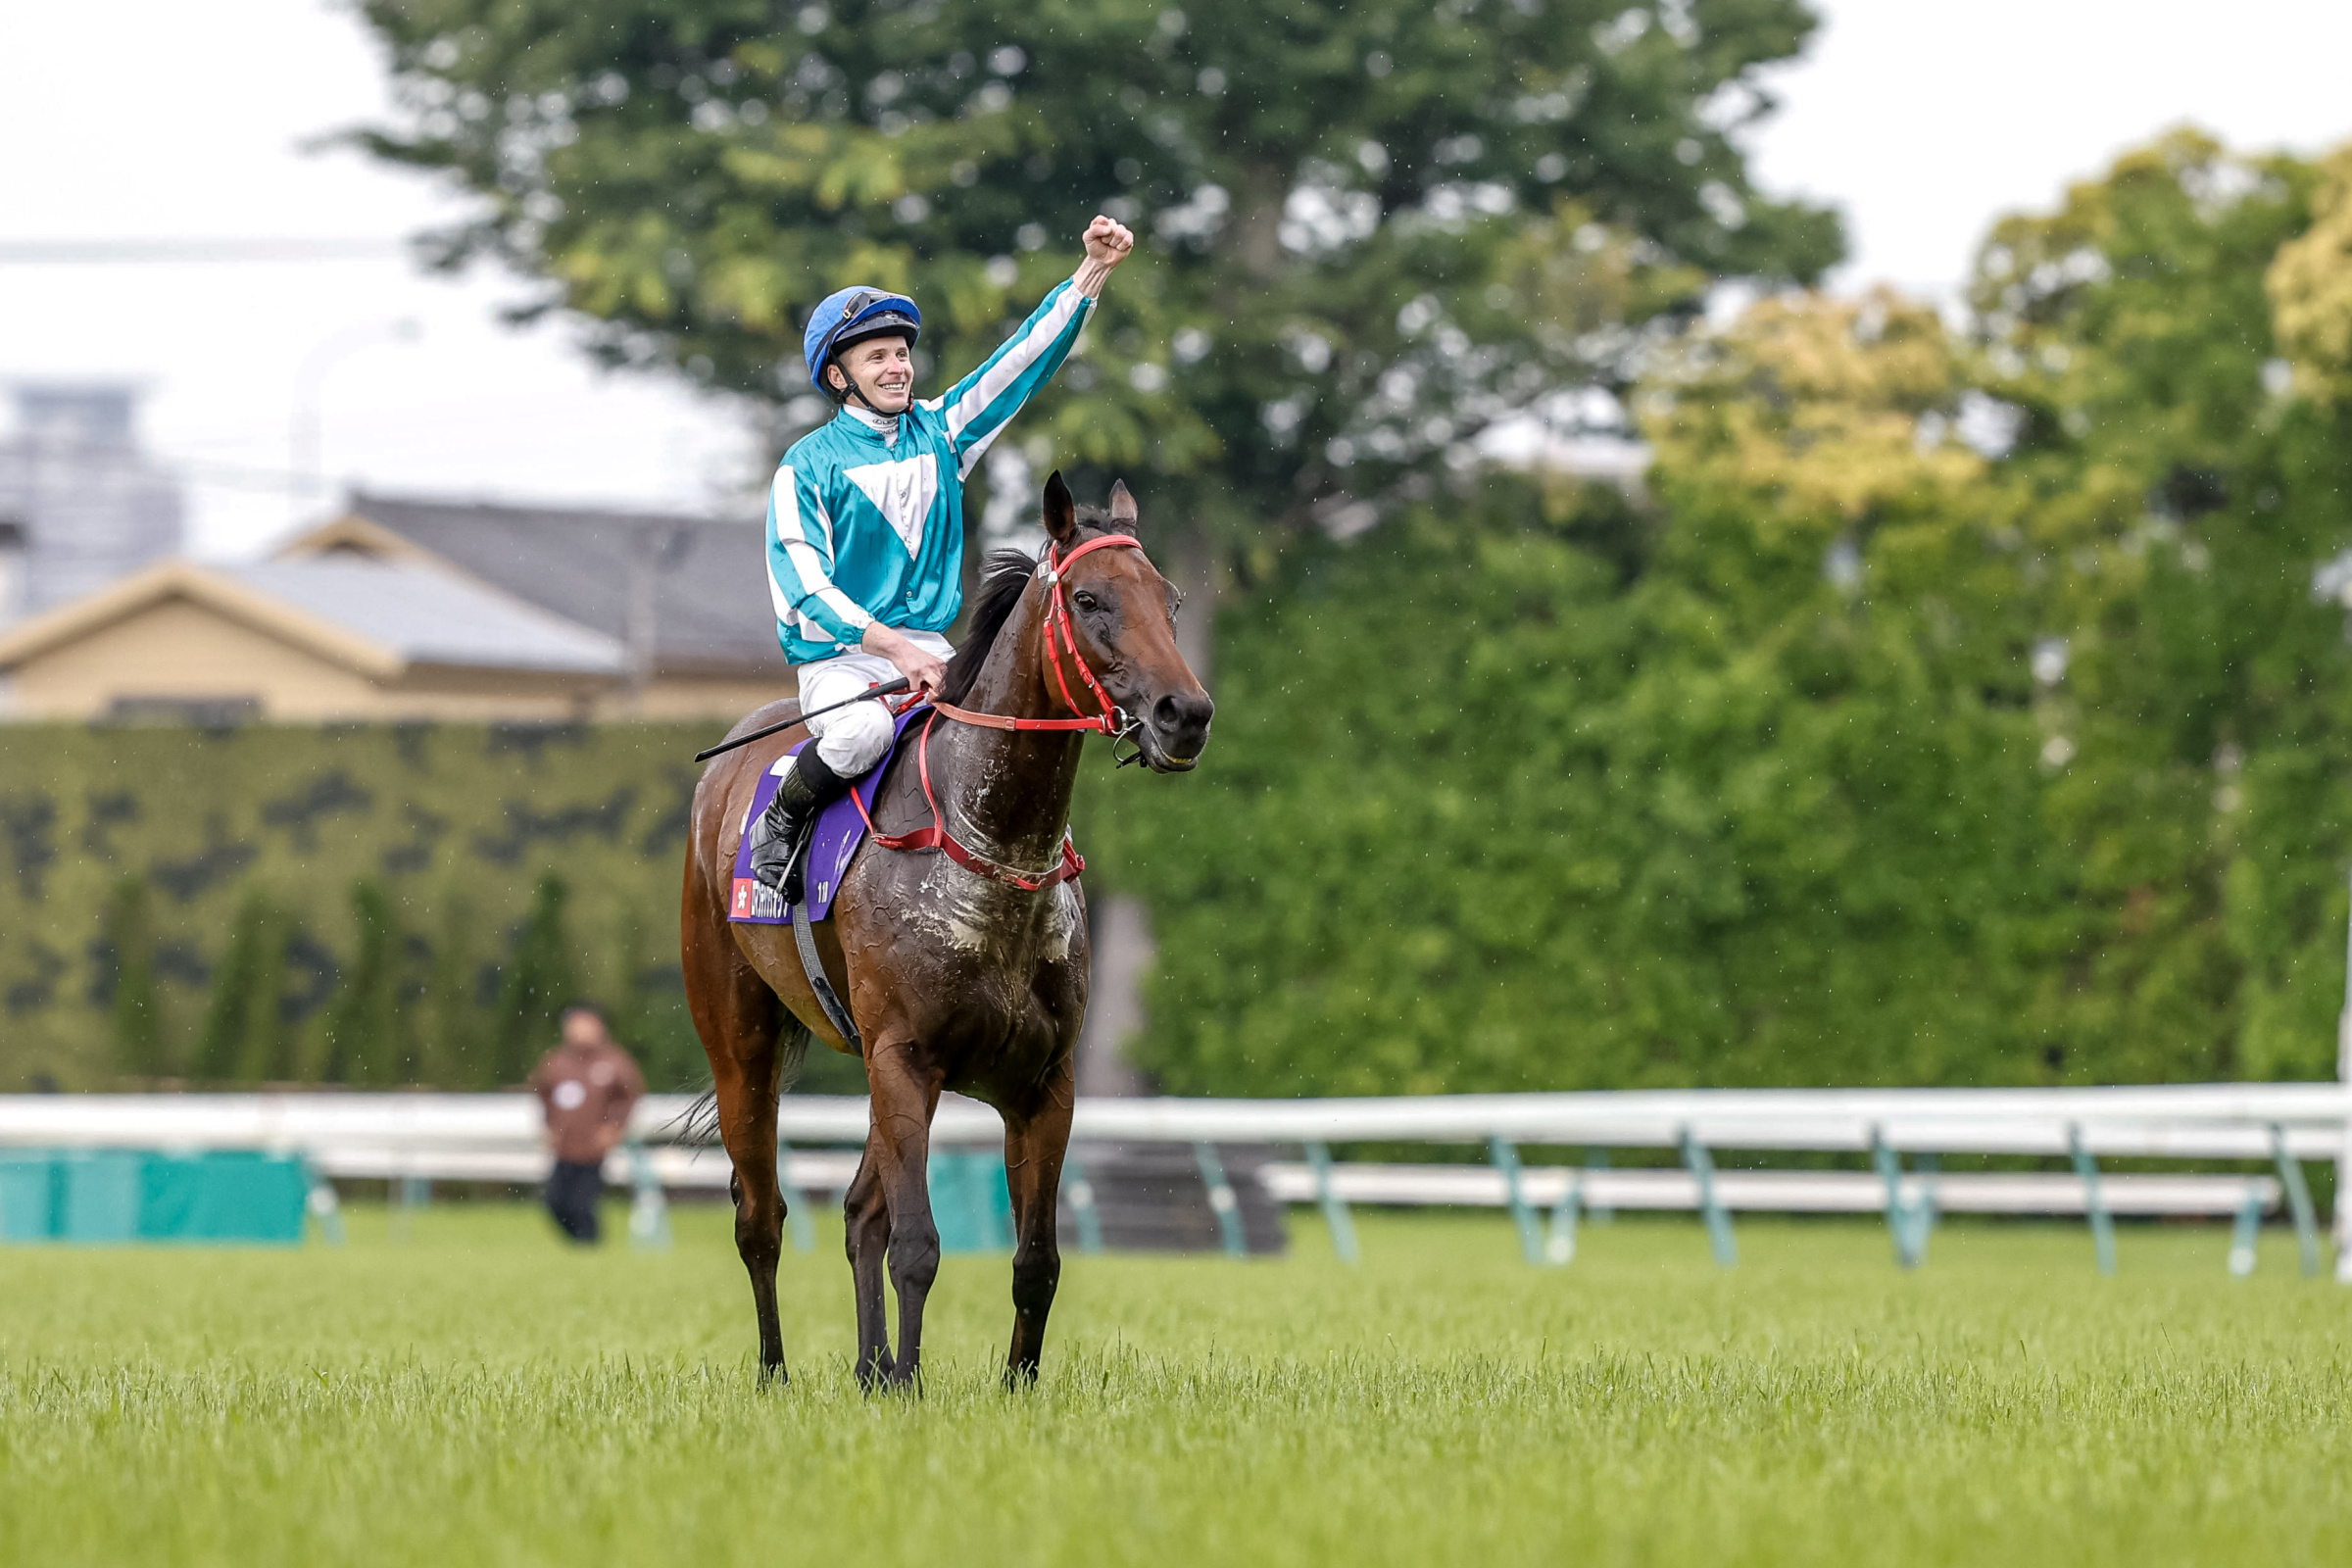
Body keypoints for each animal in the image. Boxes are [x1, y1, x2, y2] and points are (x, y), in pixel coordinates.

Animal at [672, 472, 1203, 1392]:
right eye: (1090, 600)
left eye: (1170, 601)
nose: (1186, 713)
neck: (992, 850)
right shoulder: (907, 1058)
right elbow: (917, 1246)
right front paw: (913, 1386)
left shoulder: (1043, 1084)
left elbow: (1036, 1261)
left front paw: (1009, 1387)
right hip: (741, 1043)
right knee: (761, 1216)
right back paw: (778, 1374)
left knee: (857, 1212)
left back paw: (868, 1368)